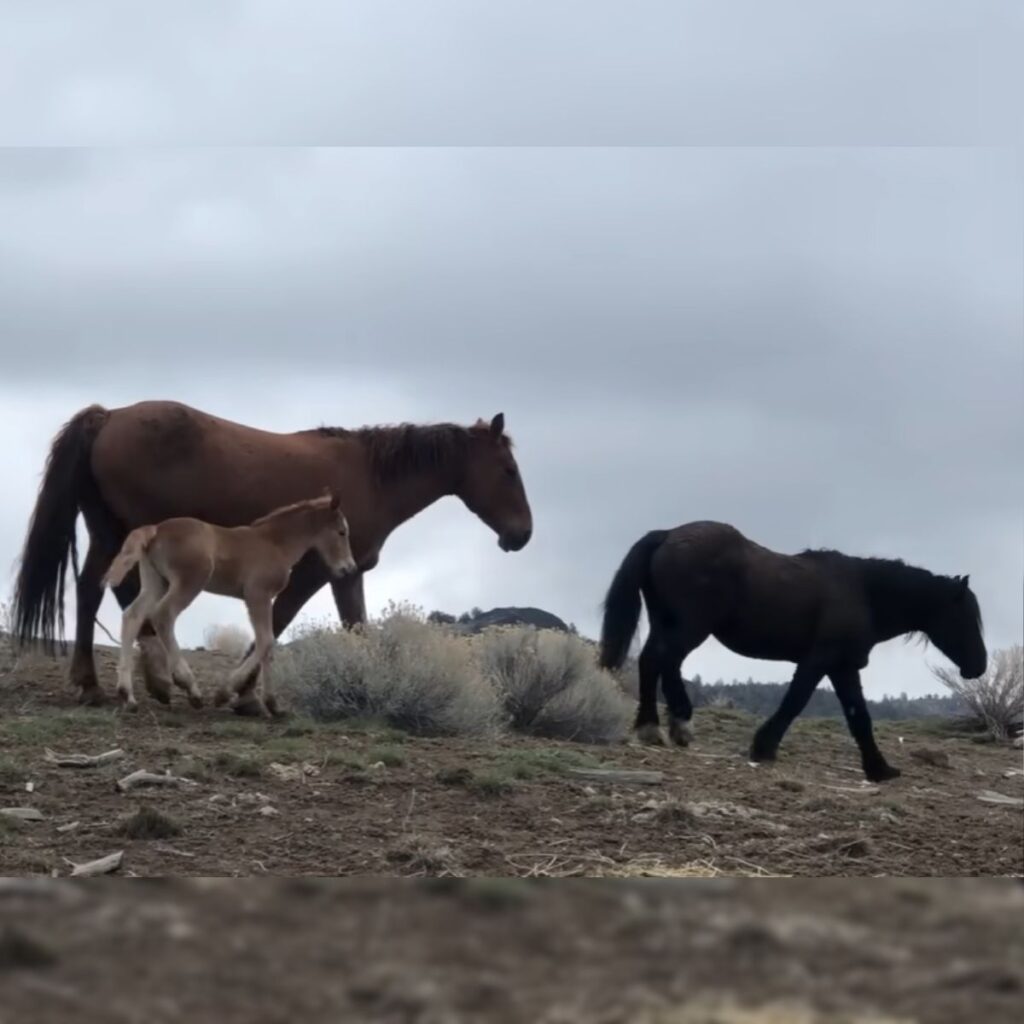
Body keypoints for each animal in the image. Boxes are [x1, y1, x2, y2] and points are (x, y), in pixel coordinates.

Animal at [104, 492, 357, 715]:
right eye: (342, 532)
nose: (349, 568)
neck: (275, 544)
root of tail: (156, 529)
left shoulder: (264, 598)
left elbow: (268, 645)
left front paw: (273, 705)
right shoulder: (257, 594)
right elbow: (265, 641)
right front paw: (224, 693)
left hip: (157, 582)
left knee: (133, 615)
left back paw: (127, 695)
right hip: (190, 581)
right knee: (163, 615)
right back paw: (190, 688)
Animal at [598, 521, 986, 782]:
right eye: (965, 617)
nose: (978, 667)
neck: (863, 592)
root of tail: (667, 534)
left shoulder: (843, 667)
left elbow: (858, 717)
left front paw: (879, 768)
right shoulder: (822, 661)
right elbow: (796, 702)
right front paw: (763, 747)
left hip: (670, 623)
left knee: (660, 663)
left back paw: (668, 727)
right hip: (690, 627)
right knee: (659, 661)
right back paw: (662, 727)